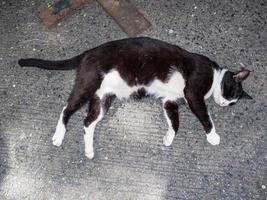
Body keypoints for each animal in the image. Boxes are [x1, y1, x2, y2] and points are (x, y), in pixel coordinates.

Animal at [18, 36, 253, 159]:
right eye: (231, 92)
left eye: (232, 103)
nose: (224, 103)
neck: (214, 76)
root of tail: (88, 52)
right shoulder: (193, 92)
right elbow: (205, 116)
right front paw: (213, 136)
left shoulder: (169, 101)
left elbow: (175, 123)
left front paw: (168, 138)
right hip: (89, 83)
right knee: (66, 108)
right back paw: (59, 136)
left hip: (103, 97)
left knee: (87, 122)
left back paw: (89, 149)